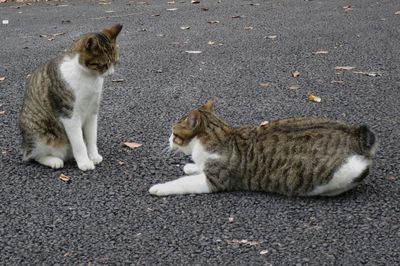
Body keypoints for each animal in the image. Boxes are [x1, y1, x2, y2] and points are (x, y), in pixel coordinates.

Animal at [18, 24, 123, 170]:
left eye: (115, 62)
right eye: (104, 65)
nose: (111, 74)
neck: (89, 76)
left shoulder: (92, 112)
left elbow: (92, 138)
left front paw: (93, 156)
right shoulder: (69, 115)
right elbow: (79, 143)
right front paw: (84, 162)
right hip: (39, 136)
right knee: (33, 156)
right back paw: (54, 161)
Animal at [148, 101, 376, 196]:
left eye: (174, 134)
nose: (168, 139)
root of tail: (355, 134)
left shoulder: (215, 180)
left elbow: (182, 182)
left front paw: (160, 187)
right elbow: (196, 167)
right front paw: (191, 166)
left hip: (339, 173)